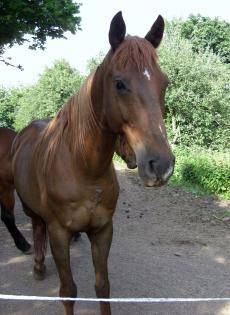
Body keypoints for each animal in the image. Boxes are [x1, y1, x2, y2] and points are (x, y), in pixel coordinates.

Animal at [12, 11, 174, 315]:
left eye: (165, 83)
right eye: (119, 84)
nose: (161, 165)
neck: (84, 168)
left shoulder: (102, 230)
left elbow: (103, 287)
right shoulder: (59, 233)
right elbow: (68, 291)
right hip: (31, 209)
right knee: (37, 228)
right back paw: (38, 267)